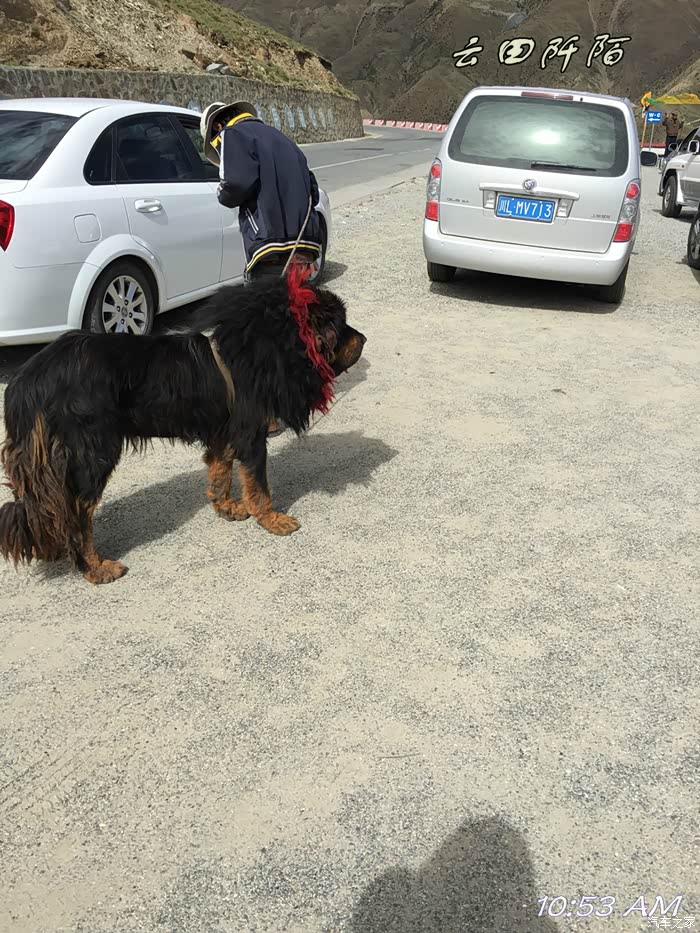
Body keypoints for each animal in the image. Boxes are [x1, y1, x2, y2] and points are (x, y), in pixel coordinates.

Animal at [0, 265, 366, 584]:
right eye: (342, 326)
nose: (363, 339)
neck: (266, 346)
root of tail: (29, 379)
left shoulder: (224, 433)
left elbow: (220, 472)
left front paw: (226, 508)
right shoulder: (250, 434)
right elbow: (259, 487)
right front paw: (272, 520)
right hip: (91, 454)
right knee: (75, 517)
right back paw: (95, 568)